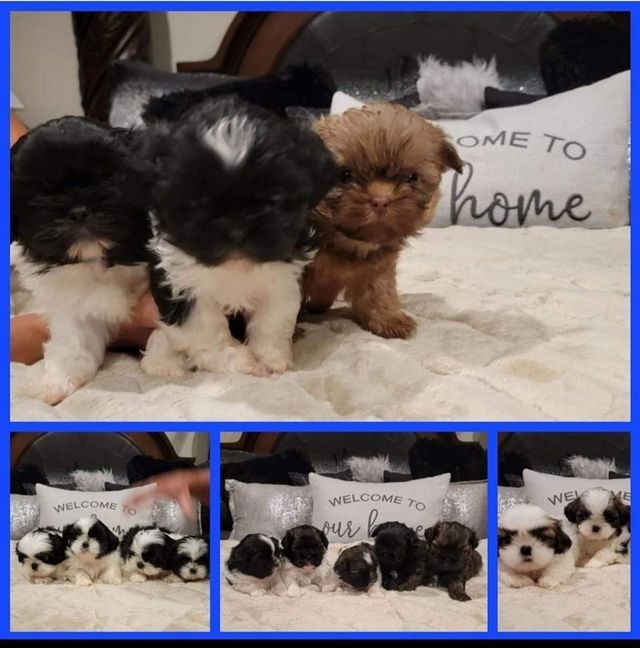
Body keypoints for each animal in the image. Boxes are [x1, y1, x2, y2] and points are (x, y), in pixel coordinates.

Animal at [11, 116, 151, 404]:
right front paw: (59, 380)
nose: (78, 210)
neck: (98, 259)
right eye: (41, 192)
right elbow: (73, 341)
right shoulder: (73, 303)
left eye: (108, 178)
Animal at [136, 95, 338, 378]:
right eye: (197, 202)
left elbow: (273, 319)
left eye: (274, 196)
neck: (235, 267)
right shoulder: (177, 280)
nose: (236, 228)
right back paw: (162, 360)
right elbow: (203, 327)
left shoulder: (282, 277)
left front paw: (270, 358)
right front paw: (232, 359)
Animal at [303, 103, 462, 339]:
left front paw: (388, 318)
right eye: (345, 175)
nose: (381, 200)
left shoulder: (379, 264)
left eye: (411, 178)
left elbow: (379, 290)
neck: (345, 242)